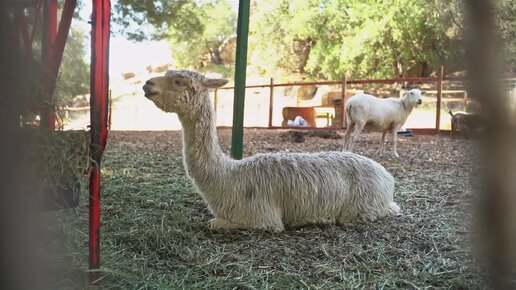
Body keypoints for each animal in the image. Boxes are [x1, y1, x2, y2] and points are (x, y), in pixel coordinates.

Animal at [143, 69, 402, 231]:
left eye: (179, 81)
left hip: (361, 207)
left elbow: (215, 224)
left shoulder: (261, 217)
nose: (147, 84)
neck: (226, 177)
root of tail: (387, 176)